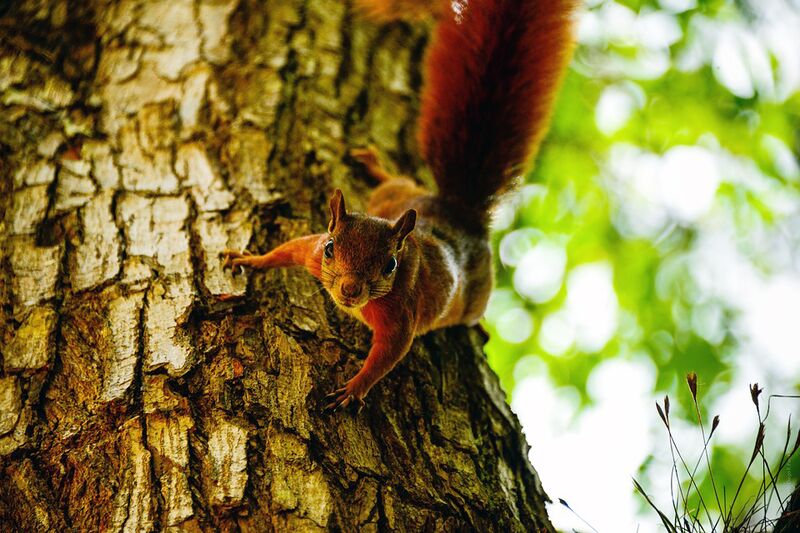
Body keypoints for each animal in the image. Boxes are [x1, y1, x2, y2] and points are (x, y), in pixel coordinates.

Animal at [223, 0, 579, 410]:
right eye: (330, 249)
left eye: (390, 265)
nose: (350, 291)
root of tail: (458, 211)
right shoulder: (310, 251)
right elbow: (287, 250)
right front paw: (250, 259)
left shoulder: (401, 314)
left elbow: (388, 355)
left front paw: (353, 388)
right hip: (394, 196)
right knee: (397, 181)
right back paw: (373, 165)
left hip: (477, 292)